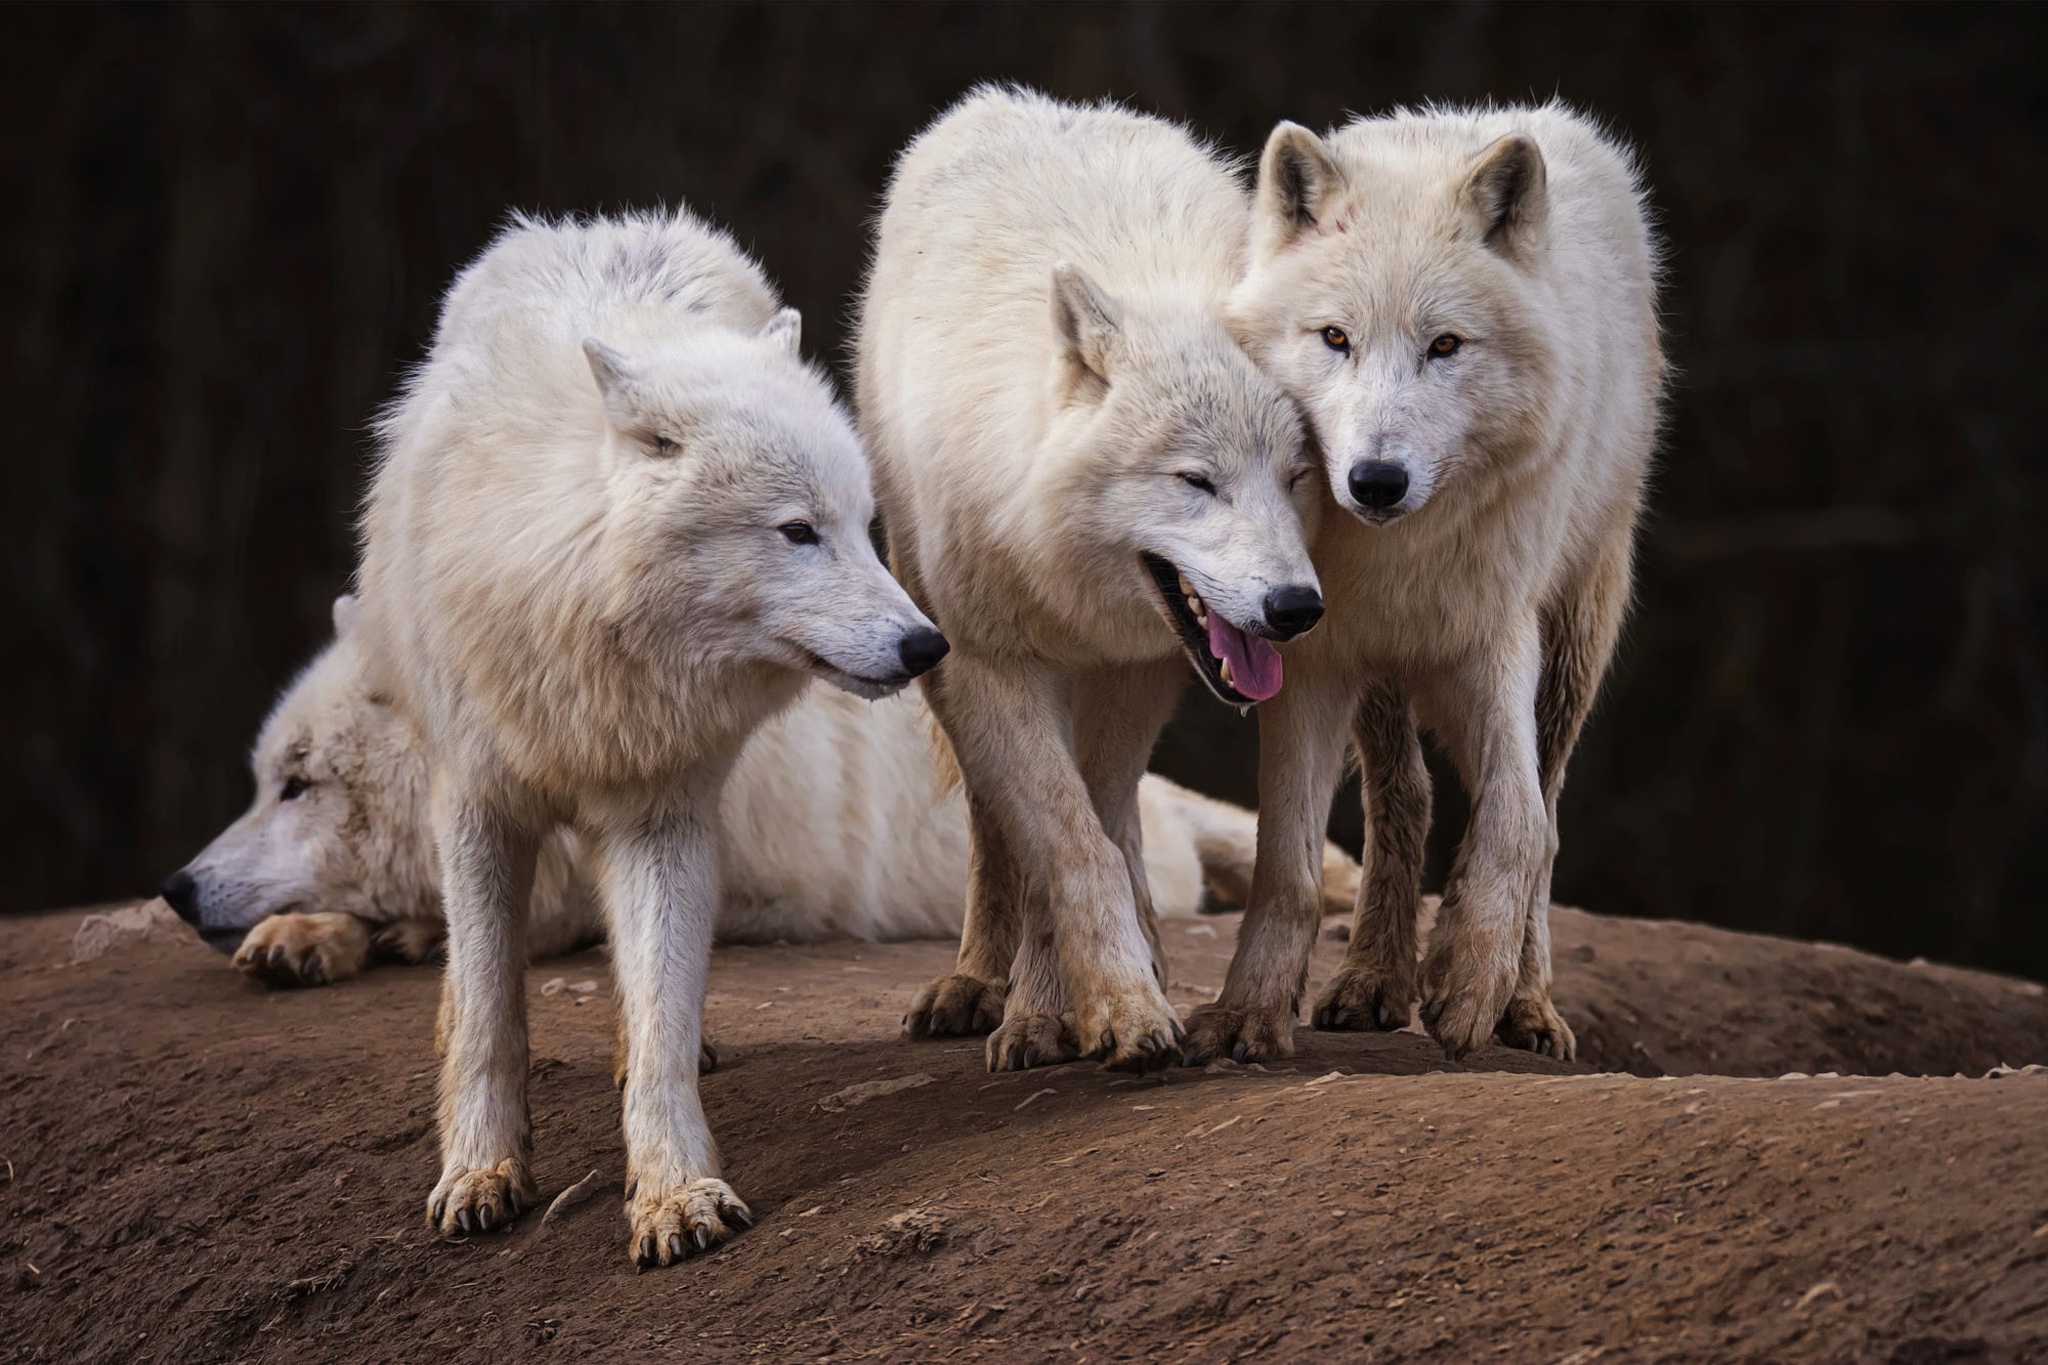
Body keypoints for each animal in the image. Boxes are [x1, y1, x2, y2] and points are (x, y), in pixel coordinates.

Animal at [360, 208, 942, 1268]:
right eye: (798, 531)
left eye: (863, 525)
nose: (927, 644)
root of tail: (612, 224)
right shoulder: (479, 801)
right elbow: (493, 1010)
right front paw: (480, 1169)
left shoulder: (659, 810)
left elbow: (664, 1012)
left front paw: (673, 1189)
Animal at [851, 87, 1318, 1080]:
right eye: (1196, 481)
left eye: (1296, 475)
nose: (1297, 609)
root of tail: (1029, 101)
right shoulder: (988, 663)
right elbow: (1063, 842)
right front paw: (1069, 1011)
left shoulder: (1136, 667)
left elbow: (1096, 825)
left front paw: (1091, 1000)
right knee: (996, 826)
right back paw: (976, 982)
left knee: (1119, 820)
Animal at [1187, 104, 1662, 1064]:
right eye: (1335, 337)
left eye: (1444, 346)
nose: (1375, 480)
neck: (1396, 554)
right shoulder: (1317, 655)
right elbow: (1286, 861)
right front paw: (1250, 1010)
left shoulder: (1493, 636)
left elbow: (1518, 822)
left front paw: (1472, 981)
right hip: (1382, 670)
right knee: (1404, 795)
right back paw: (1372, 979)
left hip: (1576, 638)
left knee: (1546, 810)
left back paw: (1527, 1001)